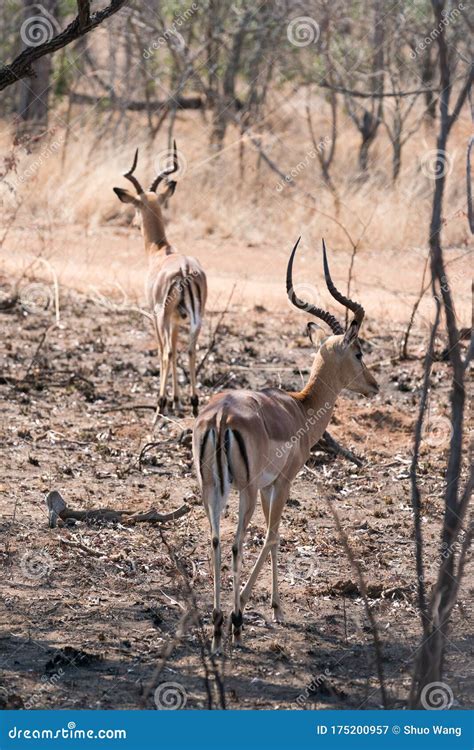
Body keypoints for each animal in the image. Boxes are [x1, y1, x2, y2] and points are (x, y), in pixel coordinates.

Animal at [113, 142, 207, 418]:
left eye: (136, 205)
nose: (135, 223)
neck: (161, 250)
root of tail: (185, 270)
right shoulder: (177, 320)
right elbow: (176, 349)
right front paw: (178, 400)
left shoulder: (156, 315)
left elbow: (162, 351)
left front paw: (168, 400)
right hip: (197, 317)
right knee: (190, 349)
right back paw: (194, 402)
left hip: (162, 315)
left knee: (165, 351)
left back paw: (159, 403)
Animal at [193, 238, 379, 651]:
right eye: (359, 352)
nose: (374, 385)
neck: (298, 407)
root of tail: (220, 416)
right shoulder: (283, 482)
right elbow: (273, 536)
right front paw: (262, 607)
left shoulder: (267, 486)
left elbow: (273, 537)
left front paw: (271, 607)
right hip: (242, 491)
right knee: (236, 543)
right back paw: (234, 623)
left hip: (212, 488)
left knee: (214, 540)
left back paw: (216, 627)